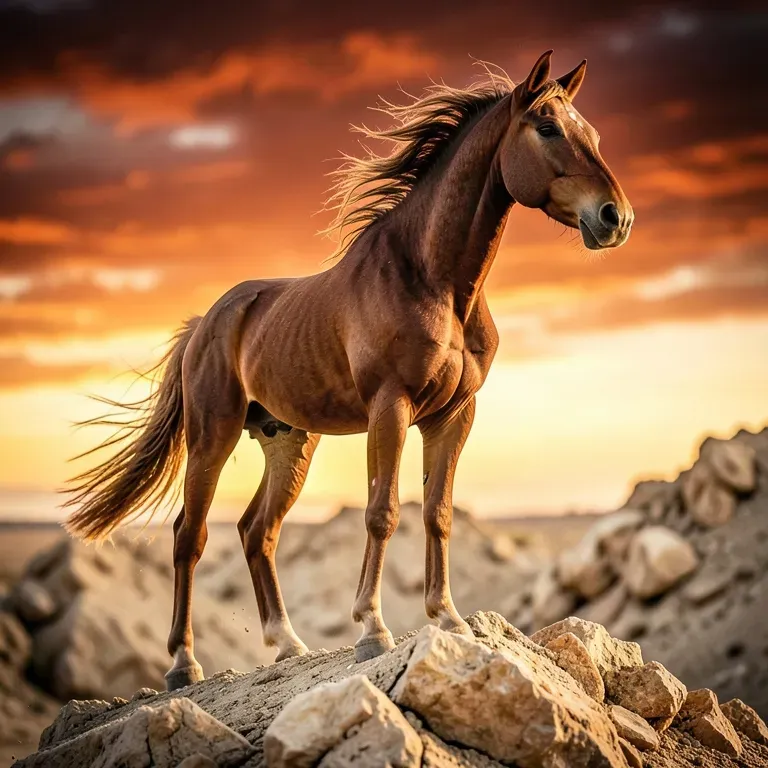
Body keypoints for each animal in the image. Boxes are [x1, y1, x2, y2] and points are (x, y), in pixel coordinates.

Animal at [65, 51, 634, 691]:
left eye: (592, 133)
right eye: (547, 127)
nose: (615, 218)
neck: (434, 280)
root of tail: (207, 322)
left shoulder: (454, 417)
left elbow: (437, 513)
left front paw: (448, 618)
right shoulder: (391, 406)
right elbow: (382, 513)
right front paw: (371, 630)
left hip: (289, 444)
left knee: (256, 530)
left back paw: (287, 644)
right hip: (213, 436)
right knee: (191, 535)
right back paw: (184, 665)